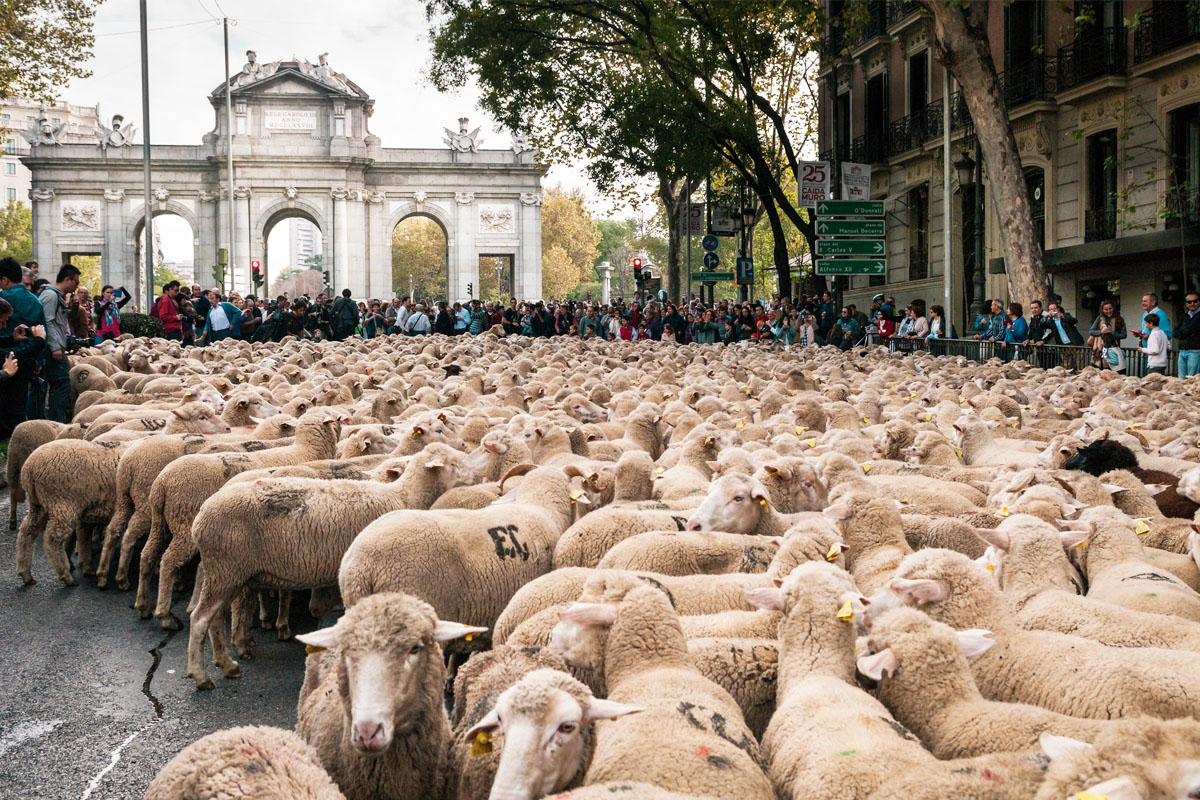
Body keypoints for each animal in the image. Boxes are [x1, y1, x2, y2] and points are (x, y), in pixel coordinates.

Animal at [182, 441, 472, 686]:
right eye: (452, 463)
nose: (474, 477)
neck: (404, 496)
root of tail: (201, 515)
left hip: (228, 573)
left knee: (216, 618)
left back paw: (226, 663)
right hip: (225, 569)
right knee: (200, 619)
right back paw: (201, 675)